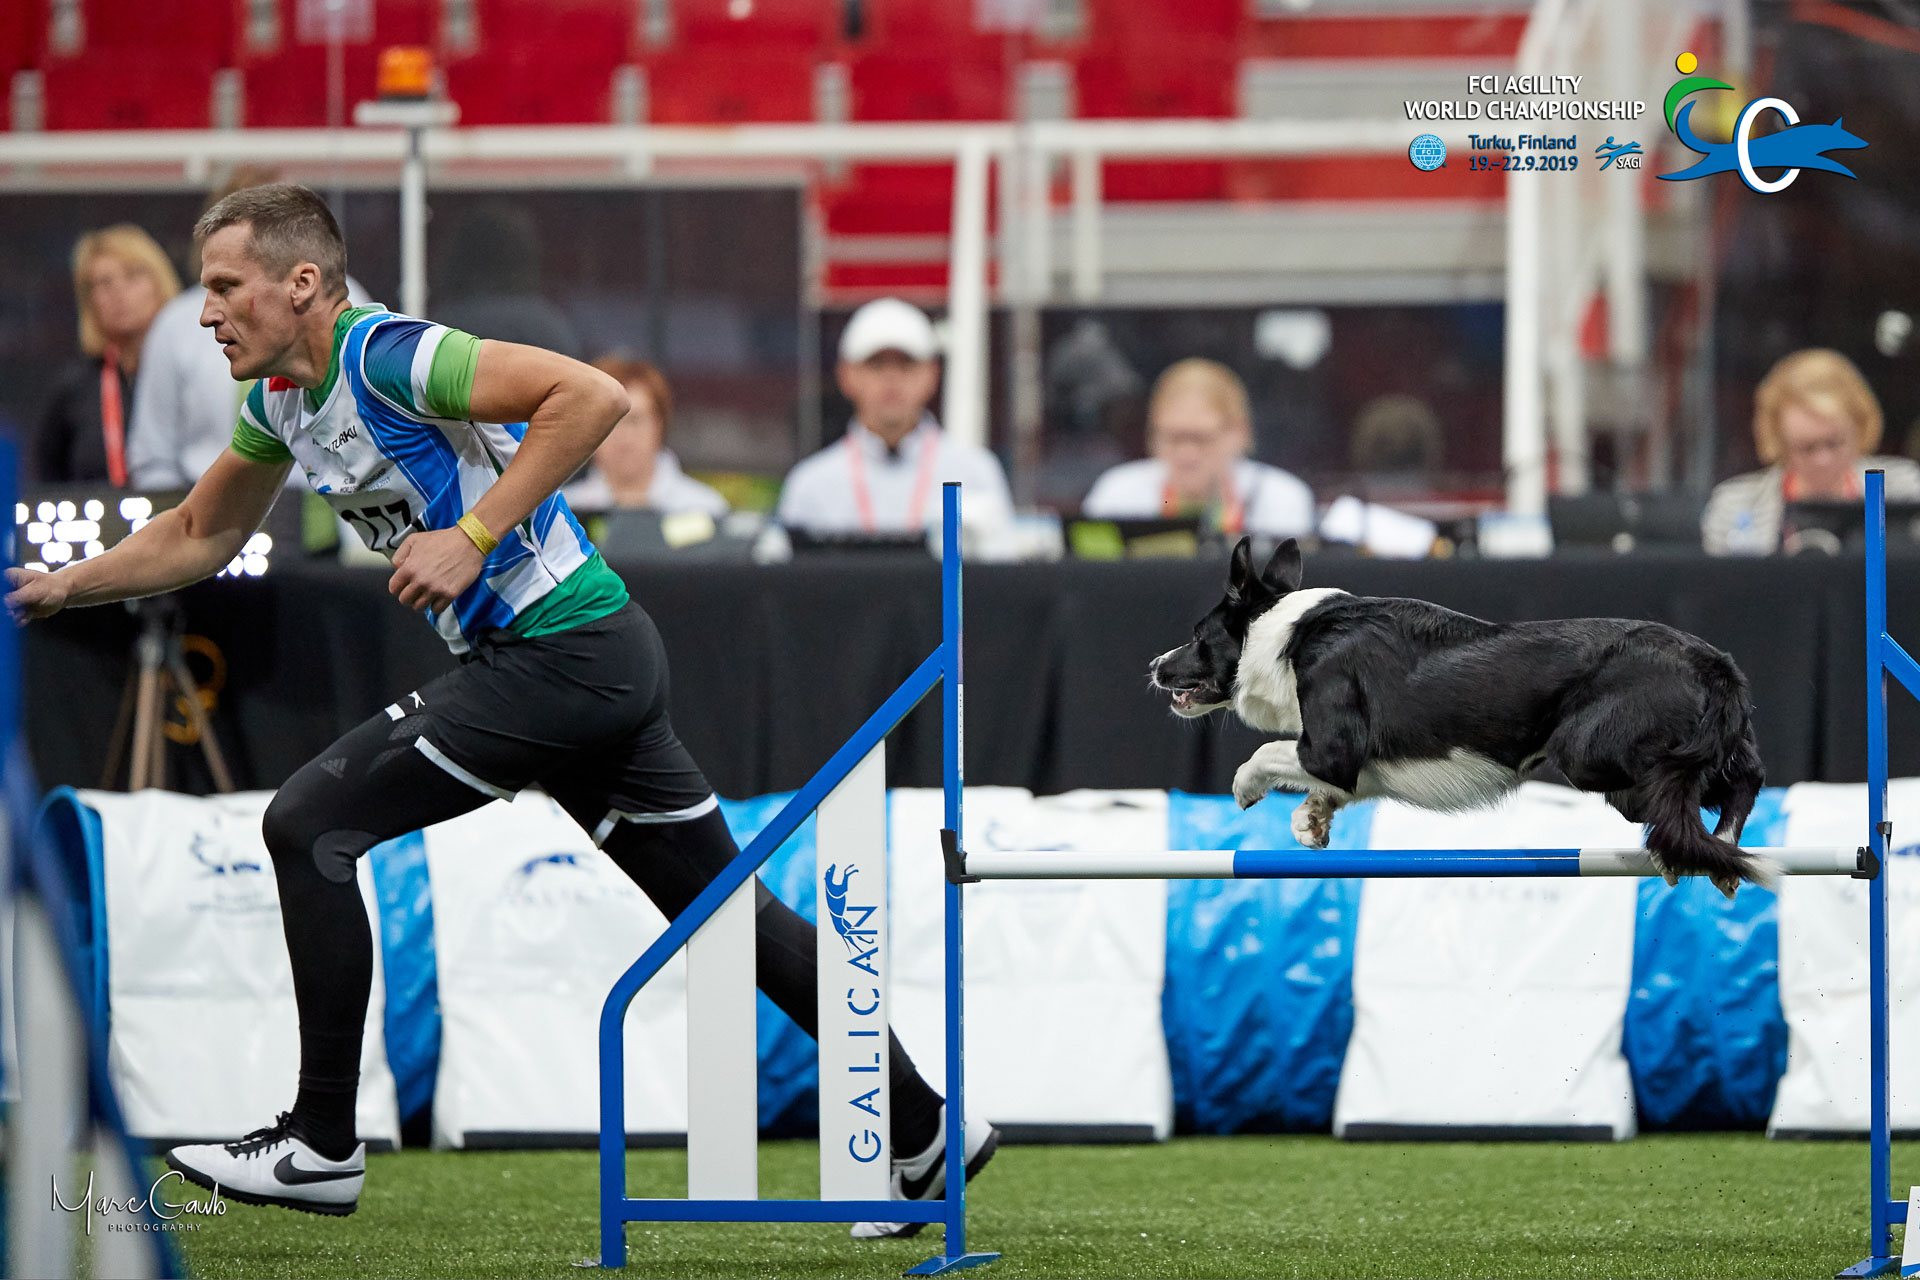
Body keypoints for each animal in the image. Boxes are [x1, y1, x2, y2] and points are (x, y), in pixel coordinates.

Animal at [1147, 538, 1770, 897]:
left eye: (1197, 636)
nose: (1154, 665)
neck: (1282, 631)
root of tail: (1710, 663)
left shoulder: (1330, 747)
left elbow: (1268, 754)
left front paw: (1247, 788)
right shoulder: (1359, 766)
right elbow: (1333, 789)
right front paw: (1312, 821)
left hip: (1590, 755)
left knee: (1681, 800)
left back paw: (1683, 853)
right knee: (1742, 780)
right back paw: (1720, 855)